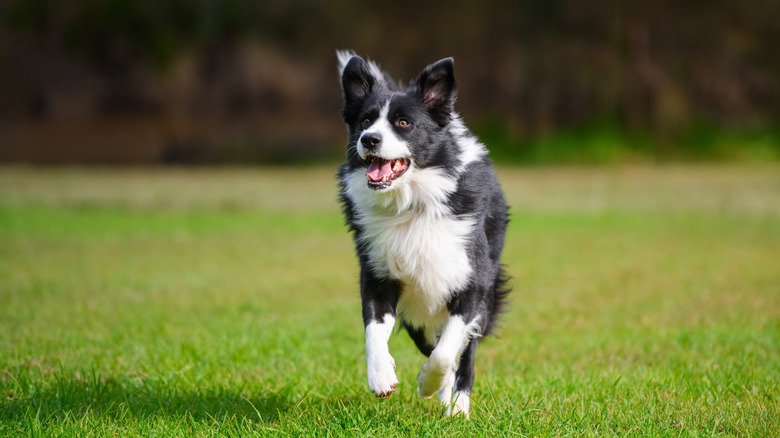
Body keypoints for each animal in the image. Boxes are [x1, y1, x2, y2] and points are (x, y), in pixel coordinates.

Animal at [336, 51, 512, 418]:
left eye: (403, 123)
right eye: (365, 121)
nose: (369, 139)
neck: (410, 204)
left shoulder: (472, 283)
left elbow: (447, 352)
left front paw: (428, 385)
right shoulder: (377, 274)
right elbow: (373, 330)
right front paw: (381, 375)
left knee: (463, 355)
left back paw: (457, 406)